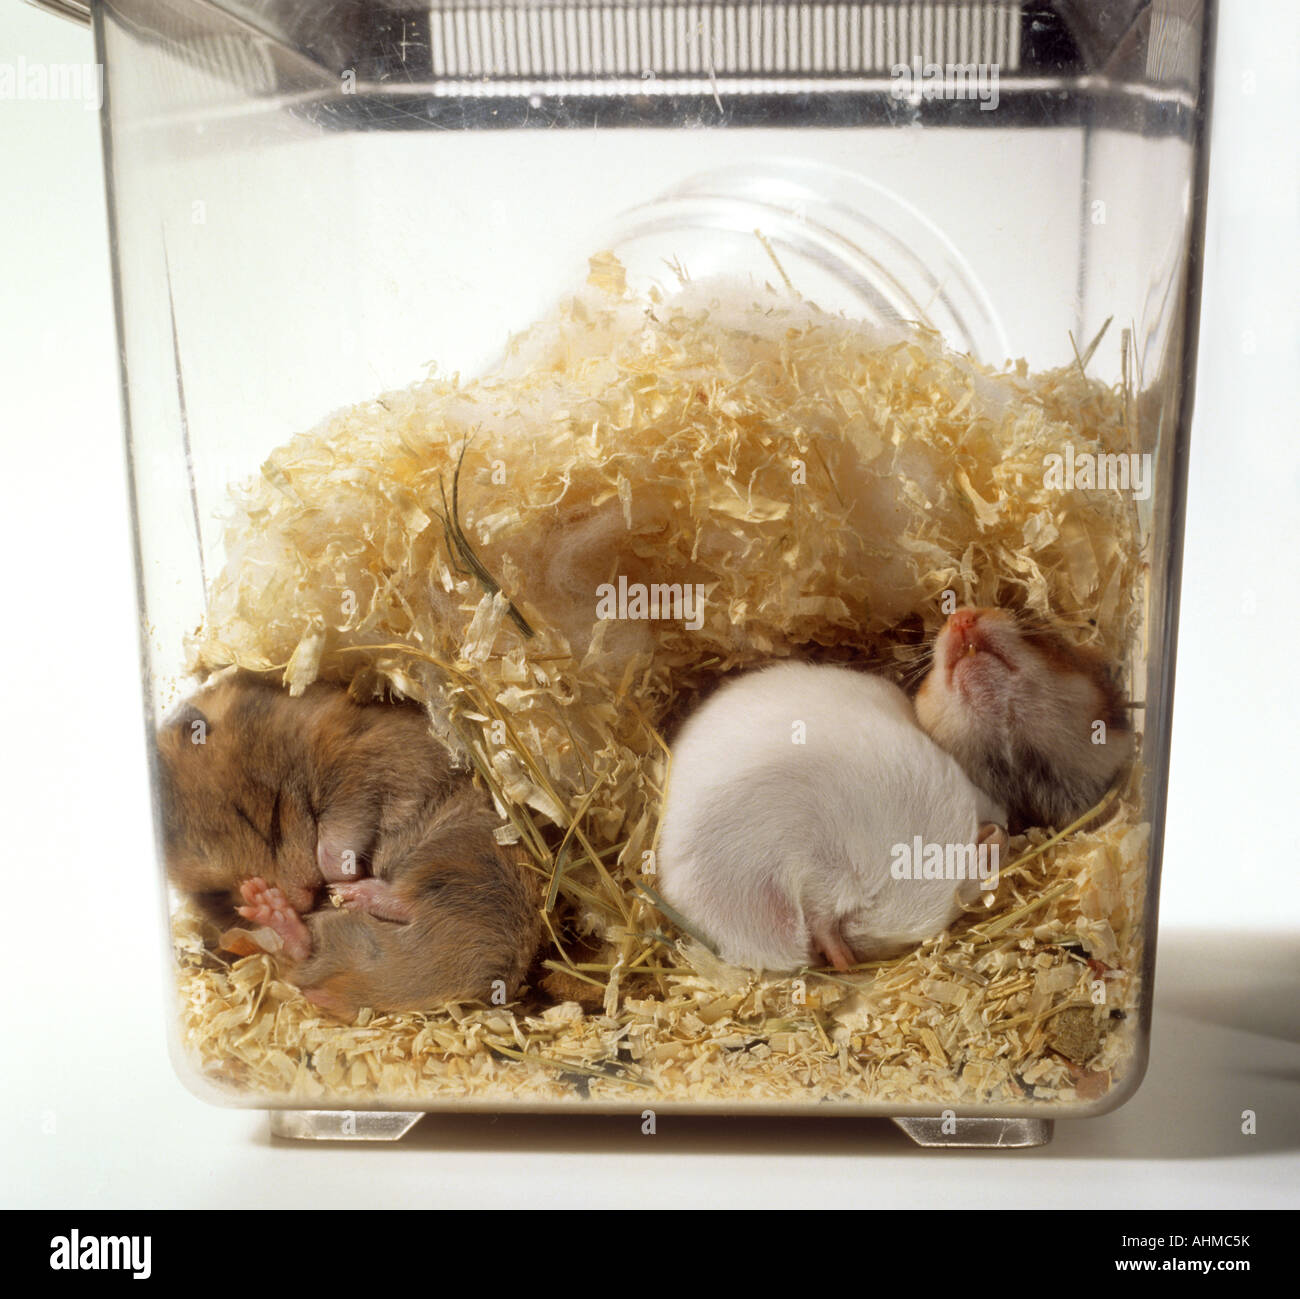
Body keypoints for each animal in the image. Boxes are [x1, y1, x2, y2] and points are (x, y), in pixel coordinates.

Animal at [155, 673, 541, 1017]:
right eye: (218, 891)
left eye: (270, 821)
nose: (307, 900)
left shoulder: (359, 772)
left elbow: (338, 835)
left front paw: (338, 876)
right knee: (305, 950)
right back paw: (276, 910)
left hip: (461, 853)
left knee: (406, 899)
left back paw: (346, 893)